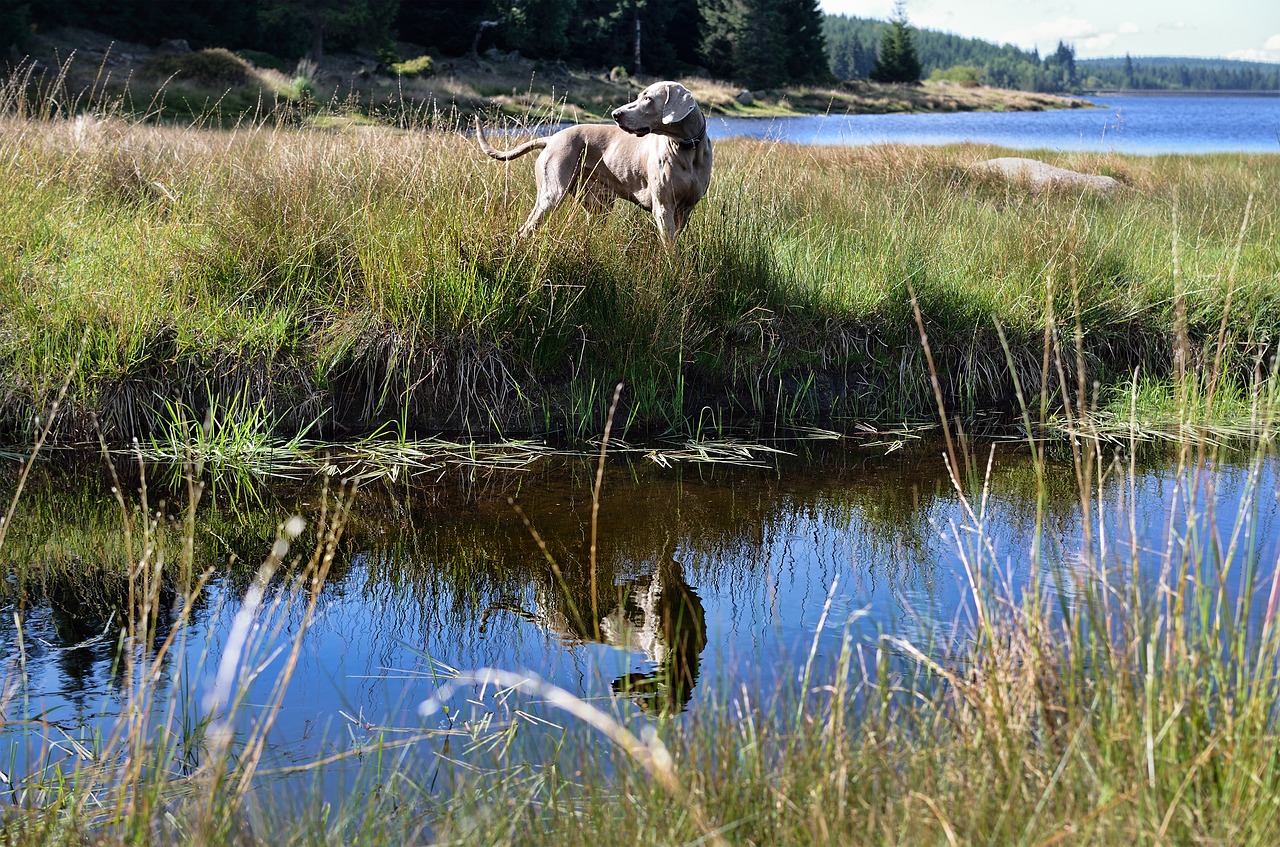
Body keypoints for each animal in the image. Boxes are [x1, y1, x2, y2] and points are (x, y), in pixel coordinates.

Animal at [478, 80, 716, 249]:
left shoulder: (685, 209)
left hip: (598, 204)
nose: (616, 114)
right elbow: (670, 248)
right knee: (525, 229)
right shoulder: (663, 207)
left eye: (648, 98)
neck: (686, 147)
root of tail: (551, 138)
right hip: (552, 193)